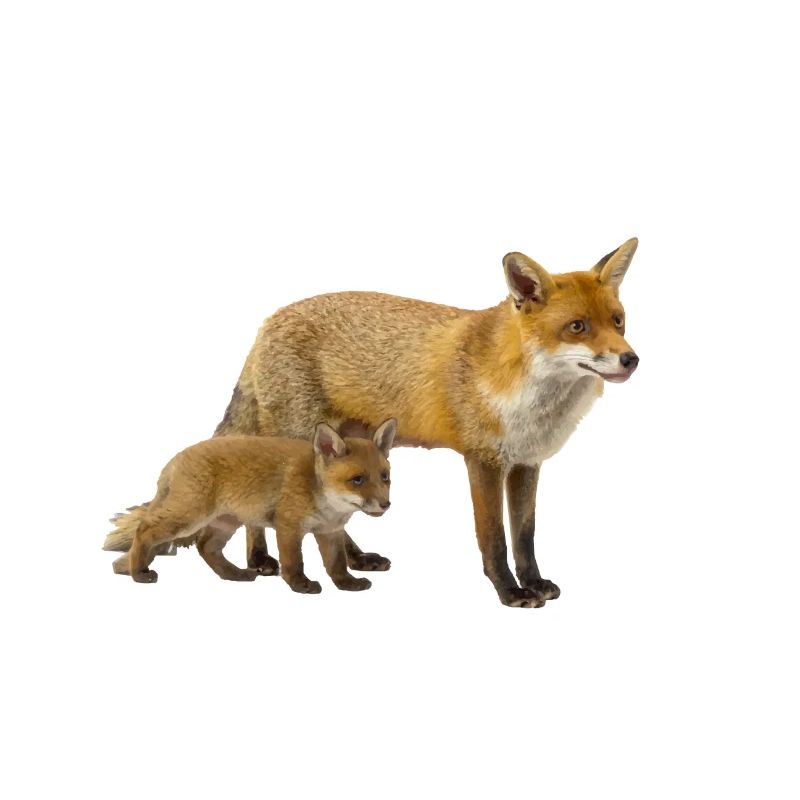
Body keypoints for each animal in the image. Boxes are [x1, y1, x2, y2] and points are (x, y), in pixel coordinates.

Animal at [103, 419, 397, 591]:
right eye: (357, 480)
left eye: (385, 477)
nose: (386, 504)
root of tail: (175, 459)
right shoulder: (288, 527)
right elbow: (294, 562)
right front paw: (300, 585)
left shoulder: (329, 532)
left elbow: (337, 564)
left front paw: (347, 584)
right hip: (188, 517)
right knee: (144, 530)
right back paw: (139, 573)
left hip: (226, 522)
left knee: (206, 548)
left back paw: (234, 574)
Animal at [207, 238, 639, 607]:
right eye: (578, 327)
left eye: (618, 321)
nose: (630, 359)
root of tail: (268, 321)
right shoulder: (483, 460)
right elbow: (494, 538)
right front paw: (510, 592)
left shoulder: (526, 462)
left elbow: (525, 535)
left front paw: (533, 582)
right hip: (299, 439)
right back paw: (260, 561)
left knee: (332, 520)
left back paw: (355, 561)